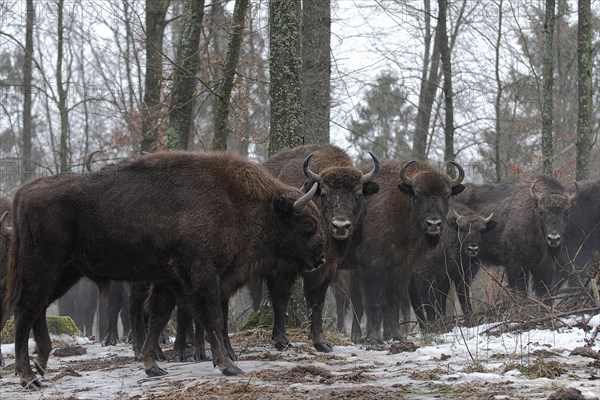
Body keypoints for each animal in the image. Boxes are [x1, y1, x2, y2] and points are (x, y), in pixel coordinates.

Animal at [2, 151, 326, 388]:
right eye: (307, 224)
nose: (321, 259)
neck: (235, 201)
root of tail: (22, 194)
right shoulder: (203, 276)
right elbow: (213, 317)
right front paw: (228, 365)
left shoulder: (169, 281)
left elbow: (158, 317)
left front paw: (153, 366)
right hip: (43, 267)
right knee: (26, 309)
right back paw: (28, 377)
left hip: (65, 273)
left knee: (37, 308)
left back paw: (40, 365)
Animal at [342, 161, 464, 342]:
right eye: (417, 194)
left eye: (447, 195)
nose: (434, 224)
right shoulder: (373, 265)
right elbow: (374, 302)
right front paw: (374, 337)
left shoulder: (402, 268)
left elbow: (394, 301)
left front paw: (397, 335)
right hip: (355, 272)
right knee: (357, 301)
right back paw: (357, 336)